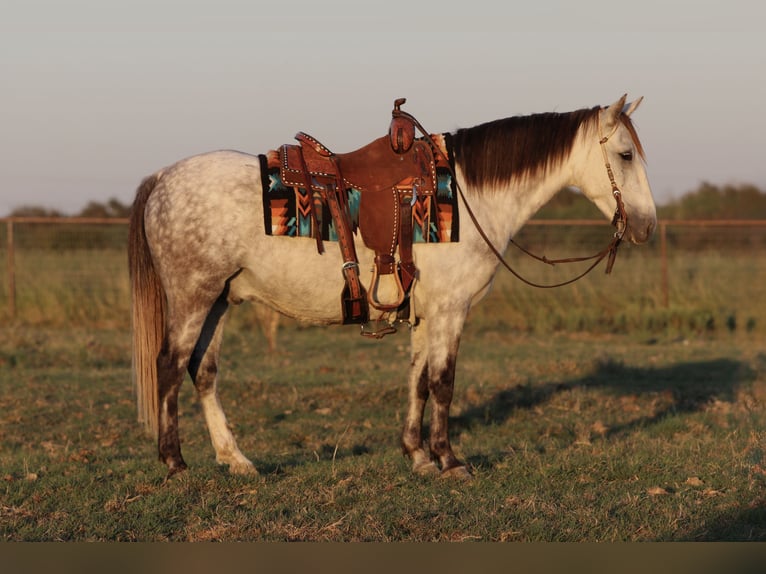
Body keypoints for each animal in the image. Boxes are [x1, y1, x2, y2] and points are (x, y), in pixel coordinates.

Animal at [129, 95, 657, 478]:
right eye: (625, 154)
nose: (648, 226)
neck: (469, 195)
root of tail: (163, 177)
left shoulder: (426, 312)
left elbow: (417, 380)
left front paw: (417, 456)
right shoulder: (451, 310)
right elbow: (443, 383)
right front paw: (450, 460)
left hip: (219, 299)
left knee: (203, 372)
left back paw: (235, 460)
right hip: (193, 297)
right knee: (170, 365)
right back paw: (175, 463)